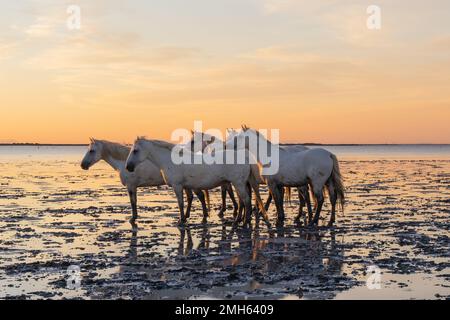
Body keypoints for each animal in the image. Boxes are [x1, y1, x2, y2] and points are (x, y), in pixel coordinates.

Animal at [80, 138, 208, 222]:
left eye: (91, 151)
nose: (82, 165)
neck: (123, 162)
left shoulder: (131, 186)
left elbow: (133, 202)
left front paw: (133, 218)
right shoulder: (134, 187)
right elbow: (134, 201)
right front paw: (134, 216)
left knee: (199, 196)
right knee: (192, 197)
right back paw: (188, 216)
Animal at [125, 138, 268, 228]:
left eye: (135, 150)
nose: (128, 167)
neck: (170, 161)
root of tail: (245, 156)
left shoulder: (178, 186)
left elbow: (181, 203)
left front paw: (181, 221)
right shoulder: (186, 186)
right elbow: (190, 199)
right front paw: (186, 218)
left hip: (238, 183)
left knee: (246, 201)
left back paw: (244, 222)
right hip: (239, 183)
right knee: (242, 201)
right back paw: (238, 220)